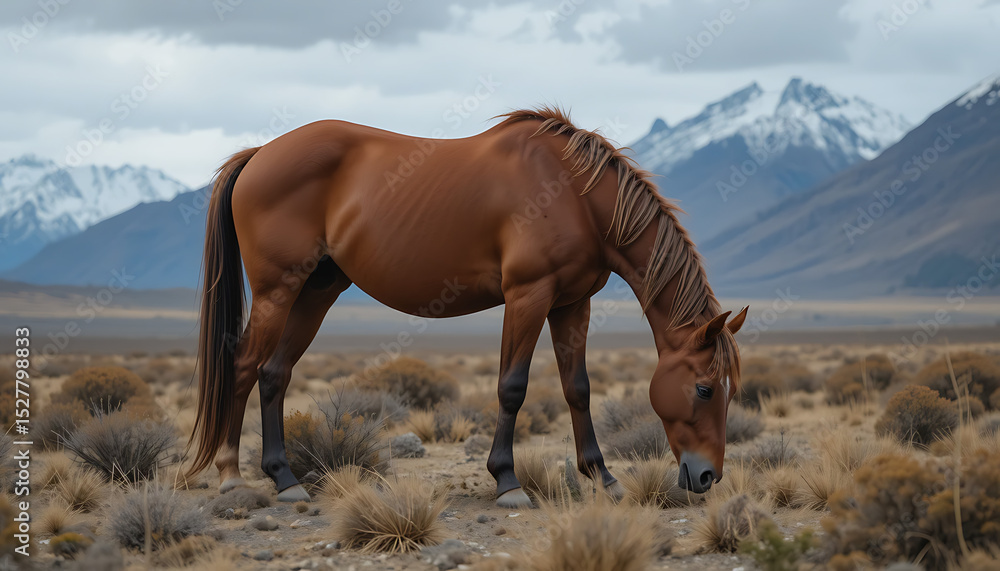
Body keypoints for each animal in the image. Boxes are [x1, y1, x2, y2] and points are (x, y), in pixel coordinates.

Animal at [185, 107, 747, 507]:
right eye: (703, 388)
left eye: (727, 391)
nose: (706, 476)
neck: (573, 192)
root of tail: (260, 153)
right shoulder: (528, 295)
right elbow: (512, 387)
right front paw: (507, 482)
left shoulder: (572, 303)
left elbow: (578, 389)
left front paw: (602, 476)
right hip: (277, 291)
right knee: (243, 366)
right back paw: (232, 477)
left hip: (317, 291)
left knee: (274, 374)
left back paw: (285, 478)